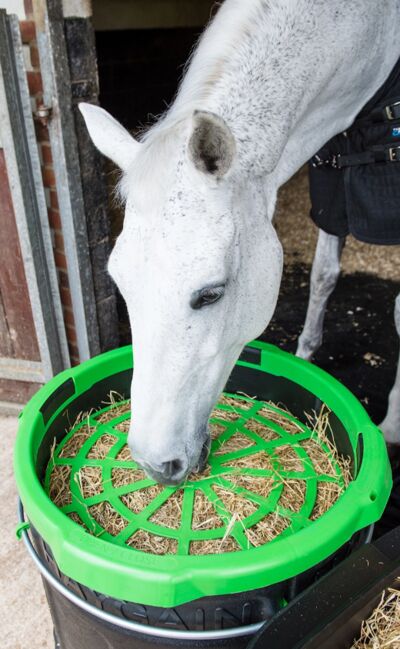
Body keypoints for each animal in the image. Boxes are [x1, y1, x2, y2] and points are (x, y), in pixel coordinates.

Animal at [80, 0, 400, 484]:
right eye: (121, 285)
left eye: (210, 294)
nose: (155, 465)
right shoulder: (332, 185)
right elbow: (323, 276)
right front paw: (306, 356)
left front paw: (393, 425)